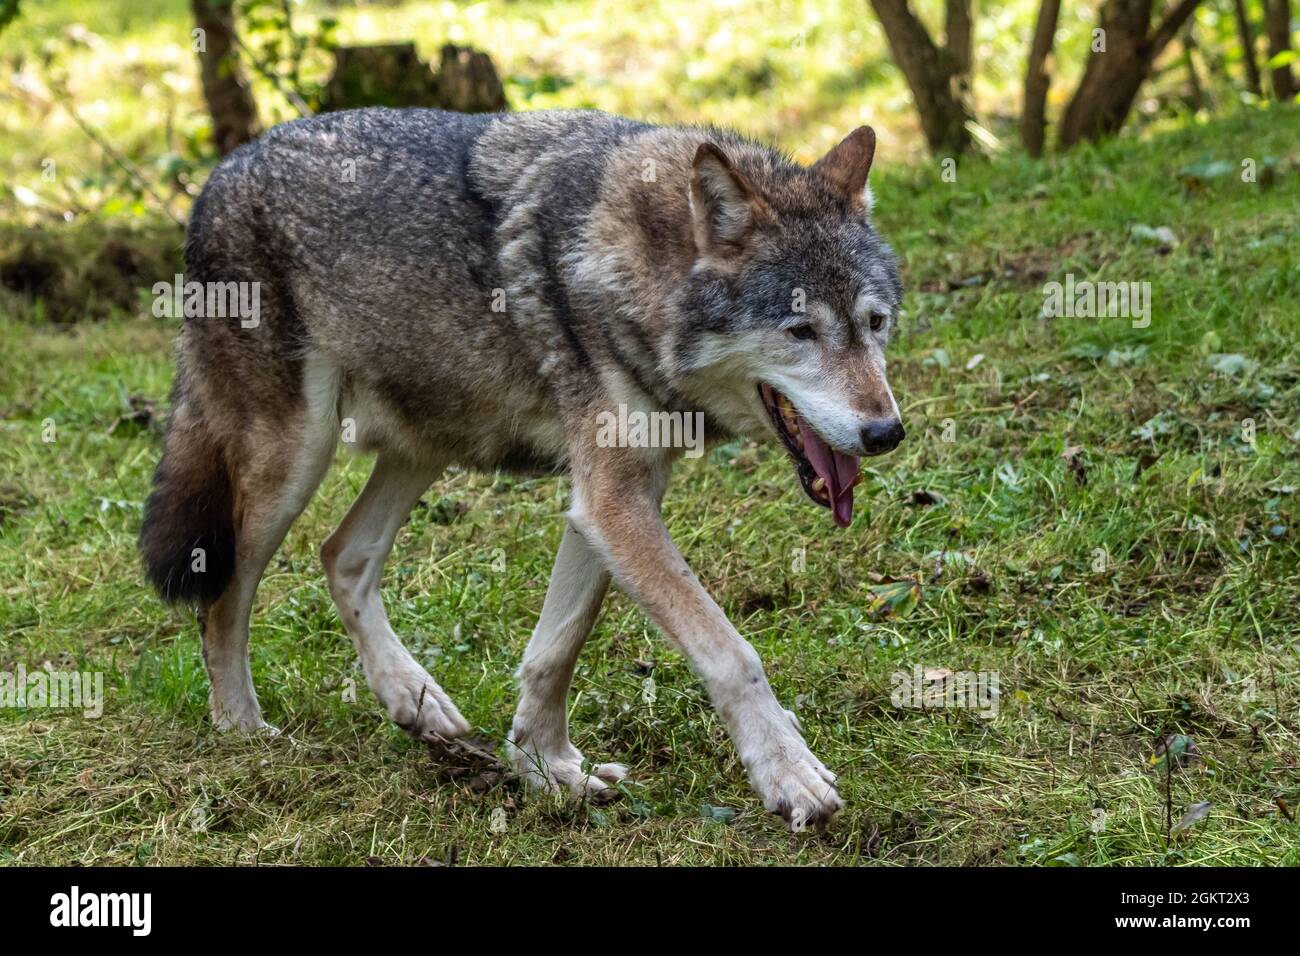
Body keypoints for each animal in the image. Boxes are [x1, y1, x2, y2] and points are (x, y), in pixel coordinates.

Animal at [140, 107, 905, 829]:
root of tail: (219, 174)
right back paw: (243, 731)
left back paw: (416, 704)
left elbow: (554, 651)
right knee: (224, 593)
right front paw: (788, 774)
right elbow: (731, 651)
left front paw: (546, 770)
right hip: (293, 459)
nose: (886, 433)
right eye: (800, 331)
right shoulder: (612, 502)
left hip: (427, 445)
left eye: (874, 323)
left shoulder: (611, 500)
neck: (635, 267)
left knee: (341, 554)